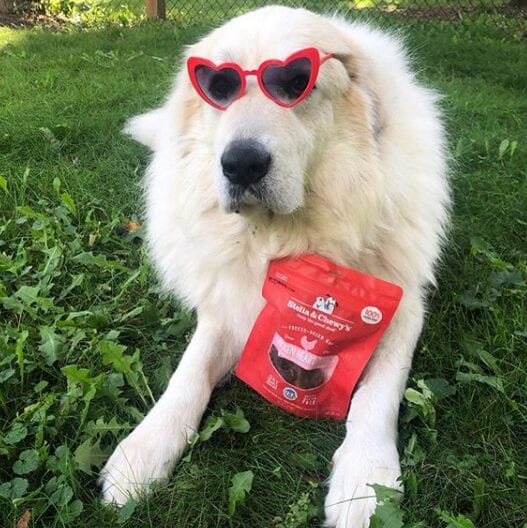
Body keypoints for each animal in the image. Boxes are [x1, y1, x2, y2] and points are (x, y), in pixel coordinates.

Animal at [101, 6, 452, 524]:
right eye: (219, 86)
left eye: (294, 82)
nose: (241, 164)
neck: (280, 239)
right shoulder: (227, 304)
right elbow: (189, 372)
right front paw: (144, 449)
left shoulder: (403, 304)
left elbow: (378, 393)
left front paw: (364, 481)